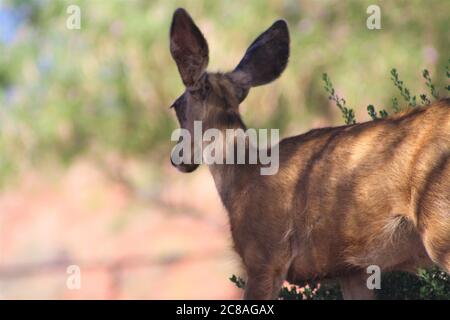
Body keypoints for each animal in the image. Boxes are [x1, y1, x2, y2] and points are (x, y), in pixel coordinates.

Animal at [169, 8, 450, 300]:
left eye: (176, 106)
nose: (177, 158)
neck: (244, 176)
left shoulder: (264, 255)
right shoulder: (352, 270)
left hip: (439, 225)